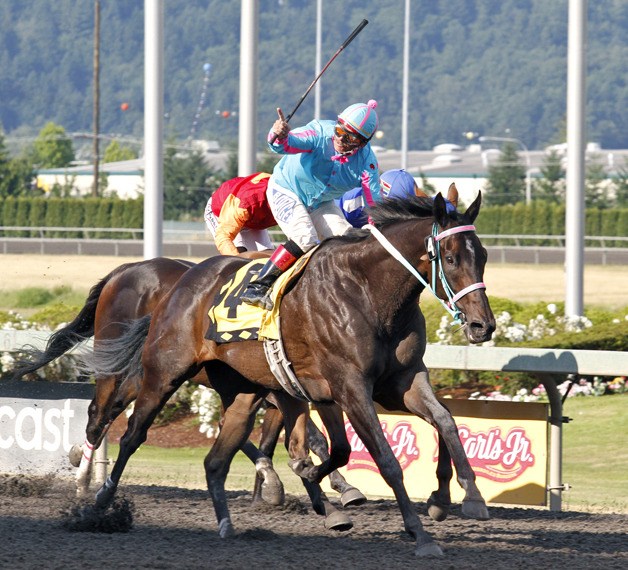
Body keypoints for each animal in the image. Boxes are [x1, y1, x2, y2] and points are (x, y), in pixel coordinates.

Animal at [84, 191, 496, 556]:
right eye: (451, 257)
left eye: (483, 256)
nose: (483, 326)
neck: (366, 291)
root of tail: (180, 284)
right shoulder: (349, 388)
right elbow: (383, 459)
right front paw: (420, 534)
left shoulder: (401, 381)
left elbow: (444, 419)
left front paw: (459, 496)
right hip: (162, 373)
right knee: (126, 431)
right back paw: (98, 500)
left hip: (241, 392)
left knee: (215, 460)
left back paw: (227, 524)